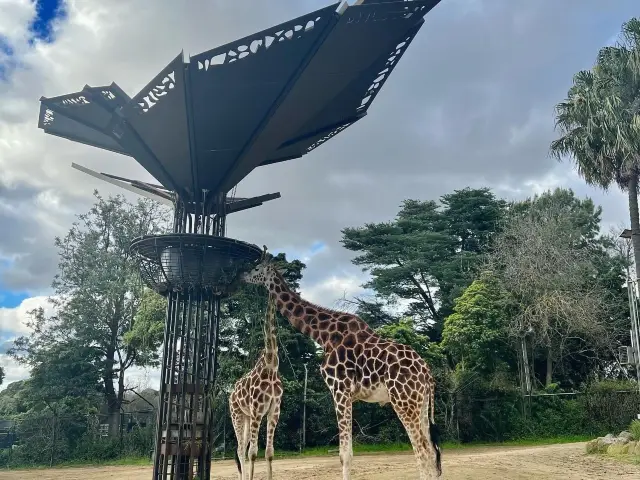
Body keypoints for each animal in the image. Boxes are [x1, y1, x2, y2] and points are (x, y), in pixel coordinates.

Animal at [229, 288, 282, 480]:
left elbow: (269, 452)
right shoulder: (258, 410)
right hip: (237, 414)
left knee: (241, 449)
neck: (271, 365)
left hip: (247, 416)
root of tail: (231, 394)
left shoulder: (274, 410)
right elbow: (253, 452)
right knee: (240, 449)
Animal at [242, 256, 442, 478]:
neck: (324, 335)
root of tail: (427, 373)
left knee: (422, 450)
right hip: (421, 404)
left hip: (404, 401)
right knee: (432, 451)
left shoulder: (339, 390)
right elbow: (347, 452)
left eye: (257, 268)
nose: (243, 275)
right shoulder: (349, 395)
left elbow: (344, 455)